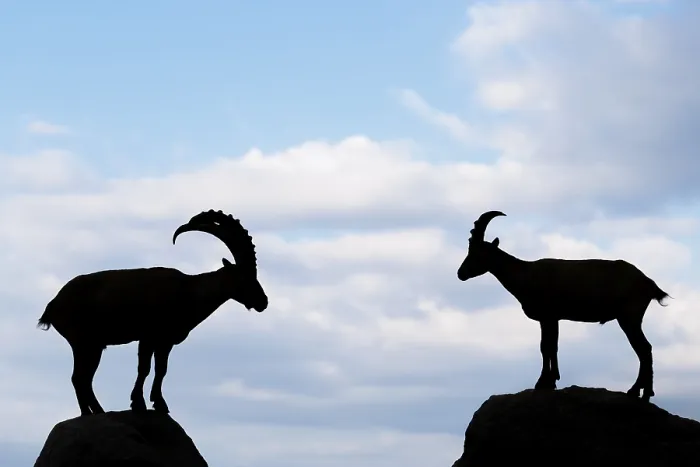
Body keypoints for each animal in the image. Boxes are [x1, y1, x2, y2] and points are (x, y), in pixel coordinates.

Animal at [37, 209, 269, 416]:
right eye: (245, 277)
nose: (263, 302)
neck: (188, 292)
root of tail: (53, 305)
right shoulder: (148, 337)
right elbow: (144, 369)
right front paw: (138, 403)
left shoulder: (165, 341)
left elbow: (161, 370)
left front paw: (159, 403)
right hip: (84, 343)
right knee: (79, 378)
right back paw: (90, 413)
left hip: (91, 346)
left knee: (83, 379)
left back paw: (97, 411)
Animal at [457, 211, 670, 402]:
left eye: (477, 253)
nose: (461, 273)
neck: (525, 275)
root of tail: (648, 283)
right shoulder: (553, 318)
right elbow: (552, 346)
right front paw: (552, 380)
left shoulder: (548, 316)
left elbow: (545, 347)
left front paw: (543, 382)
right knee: (645, 349)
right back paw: (642, 392)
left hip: (629, 317)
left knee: (644, 349)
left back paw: (639, 392)